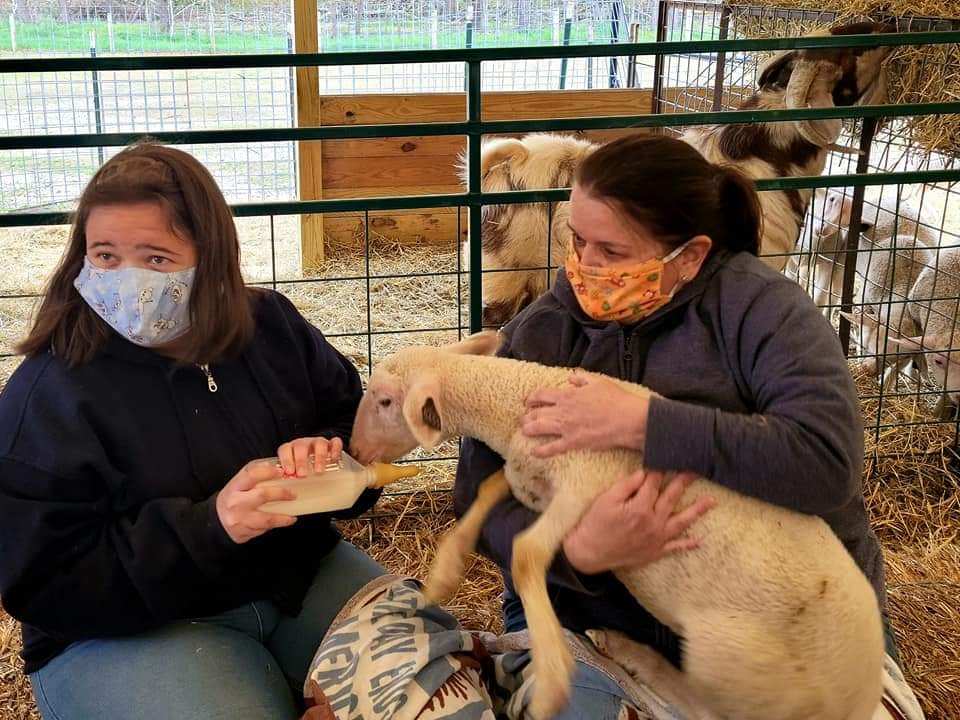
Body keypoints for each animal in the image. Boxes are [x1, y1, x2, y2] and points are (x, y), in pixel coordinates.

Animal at [346, 334, 884, 720]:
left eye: (385, 402)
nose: (354, 450)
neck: (520, 400)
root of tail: (862, 697)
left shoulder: (586, 485)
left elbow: (526, 554)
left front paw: (553, 679)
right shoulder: (535, 480)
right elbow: (490, 489)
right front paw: (443, 574)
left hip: (730, 655)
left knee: (705, 711)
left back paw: (634, 656)